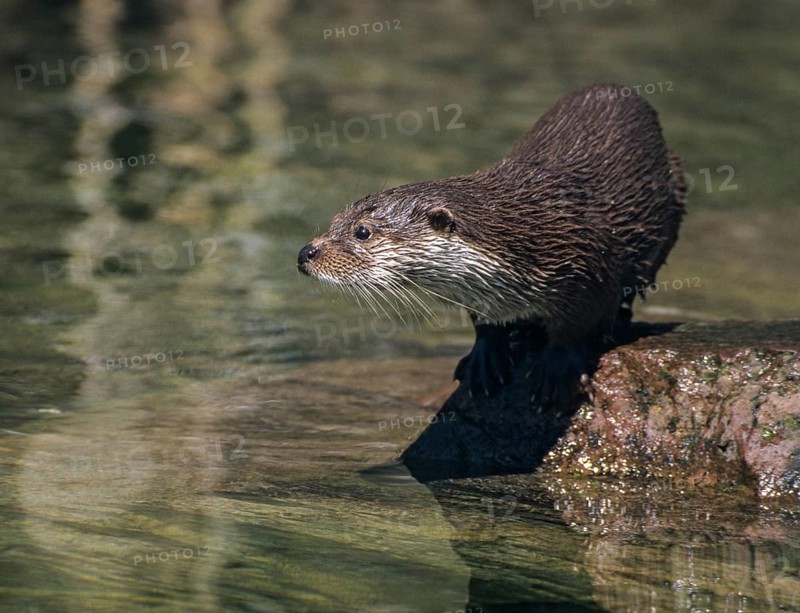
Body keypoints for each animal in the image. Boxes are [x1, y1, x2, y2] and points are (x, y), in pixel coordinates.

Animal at [297, 83, 686, 402]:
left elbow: (578, 328)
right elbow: (485, 322)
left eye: (362, 232)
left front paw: (557, 369)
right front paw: (486, 357)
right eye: (335, 220)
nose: (305, 253)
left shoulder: (591, 269)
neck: (532, 236)